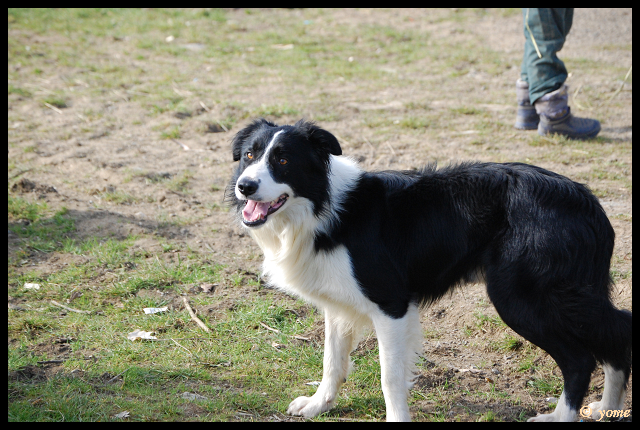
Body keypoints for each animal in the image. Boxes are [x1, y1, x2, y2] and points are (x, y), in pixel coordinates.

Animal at [228, 119, 632, 422]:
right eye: (249, 155)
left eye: (283, 160)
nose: (244, 186)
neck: (323, 208)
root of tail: (587, 201)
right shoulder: (339, 302)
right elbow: (332, 361)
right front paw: (318, 405)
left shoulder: (391, 304)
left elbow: (390, 378)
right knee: (616, 331)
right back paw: (607, 407)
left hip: (519, 298)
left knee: (581, 359)